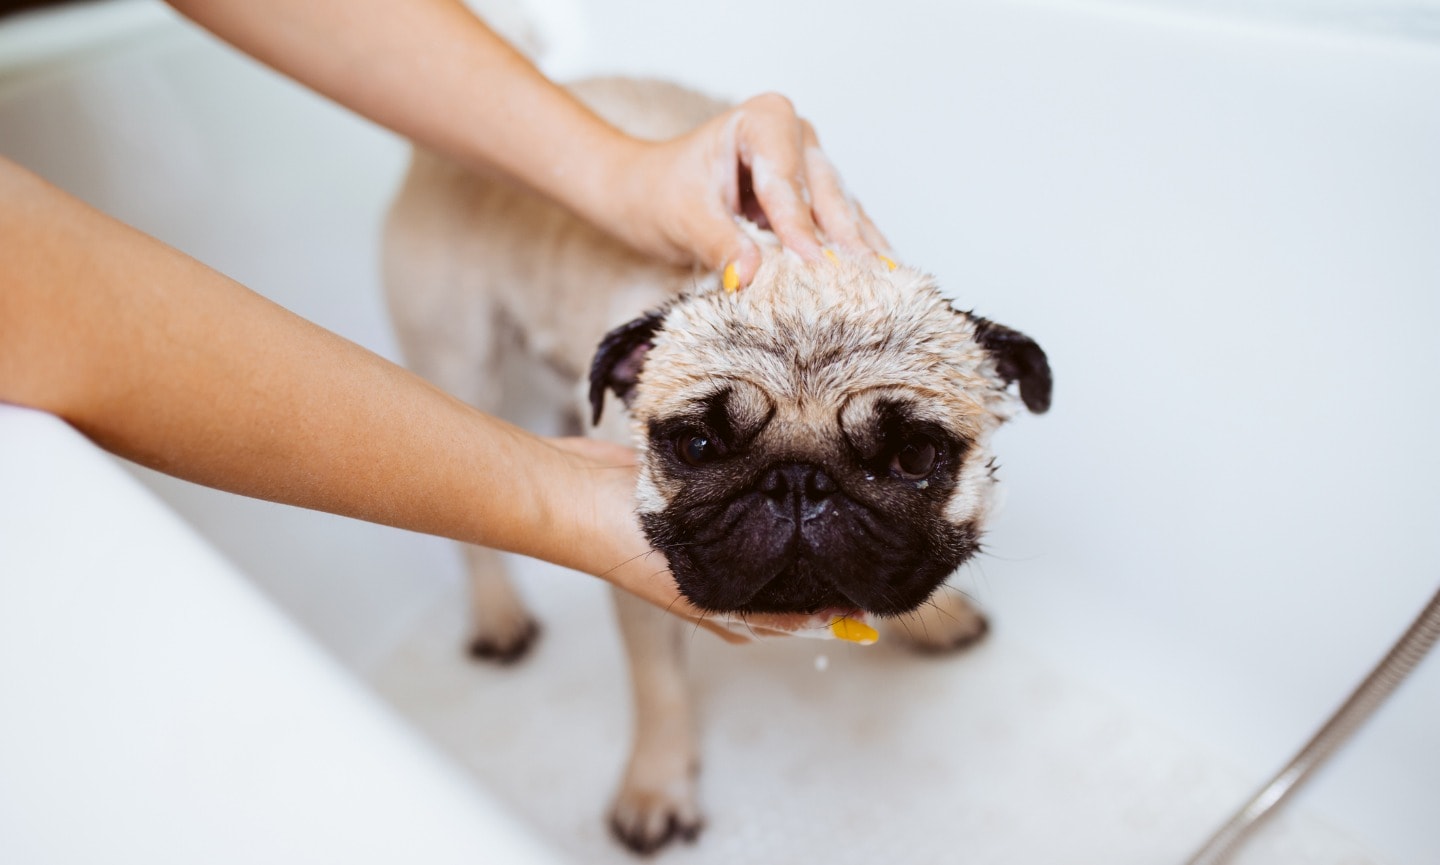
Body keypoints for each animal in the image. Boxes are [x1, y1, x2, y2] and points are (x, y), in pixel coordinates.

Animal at [385, 77, 1048, 852]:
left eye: (913, 455)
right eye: (698, 445)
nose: (798, 480)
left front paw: (935, 619)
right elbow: (659, 687)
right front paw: (655, 785)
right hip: (457, 363)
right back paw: (498, 613)